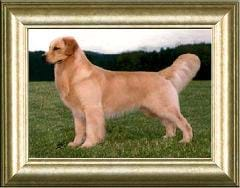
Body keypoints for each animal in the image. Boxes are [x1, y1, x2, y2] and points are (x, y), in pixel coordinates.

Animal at [43, 36, 201, 148]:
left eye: (56, 48)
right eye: (49, 47)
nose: (43, 57)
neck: (71, 73)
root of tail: (160, 74)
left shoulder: (92, 109)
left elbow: (91, 129)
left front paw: (88, 145)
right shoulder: (77, 112)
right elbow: (79, 130)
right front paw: (75, 144)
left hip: (165, 107)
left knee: (183, 123)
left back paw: (186, 140)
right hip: (155, 109)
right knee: (170, 124)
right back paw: (167, 138)